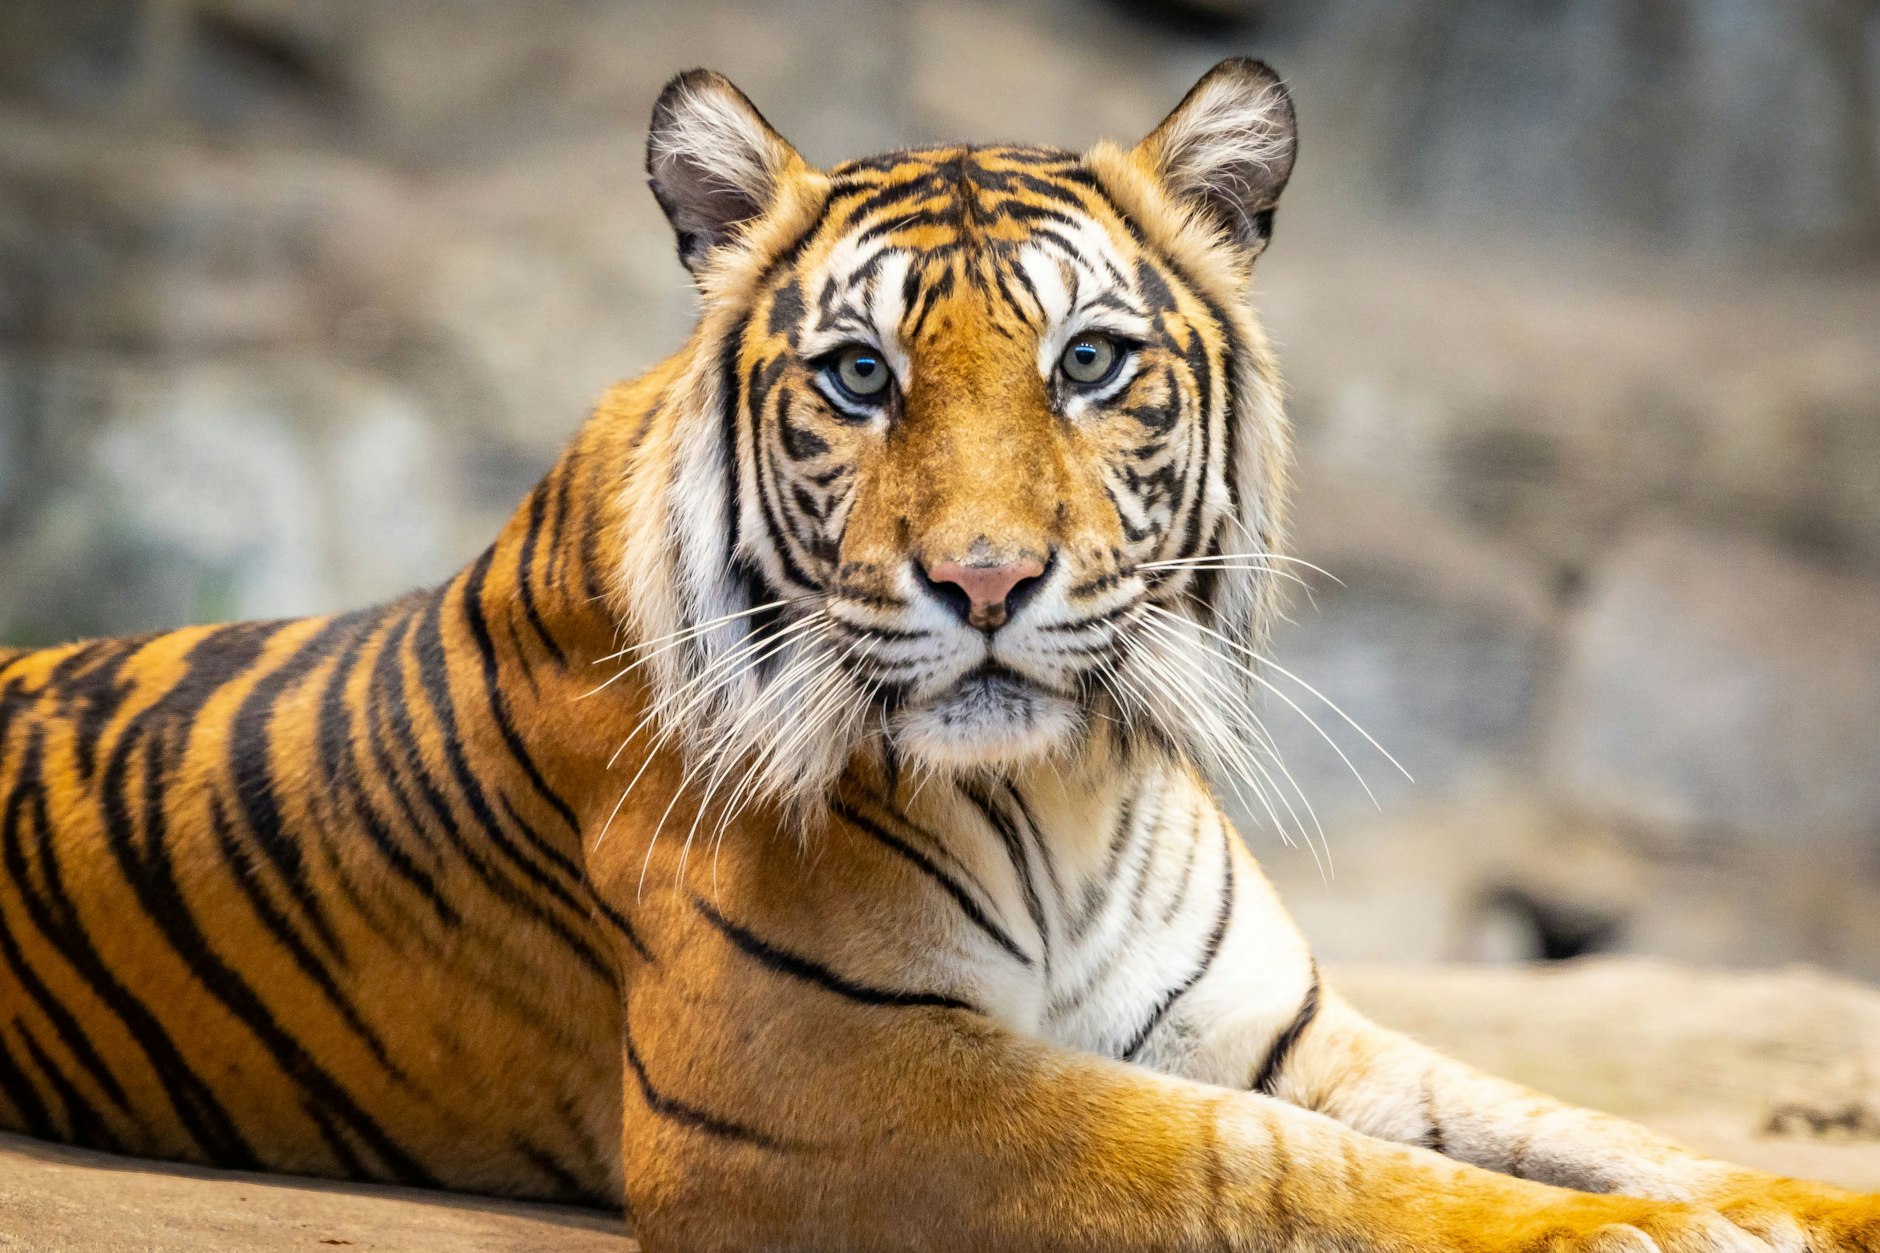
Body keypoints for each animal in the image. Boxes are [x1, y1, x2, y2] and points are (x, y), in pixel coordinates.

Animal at [0, 57, 1874, 1252]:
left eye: (1091, 360)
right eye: (858, 378)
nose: (985, 579)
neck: (1068, 793)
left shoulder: (1271, 1021)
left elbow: (1563, 1117)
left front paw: (1782, 1204)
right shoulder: (838, 1085)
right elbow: (1270, 1163)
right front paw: (1634, 1242)